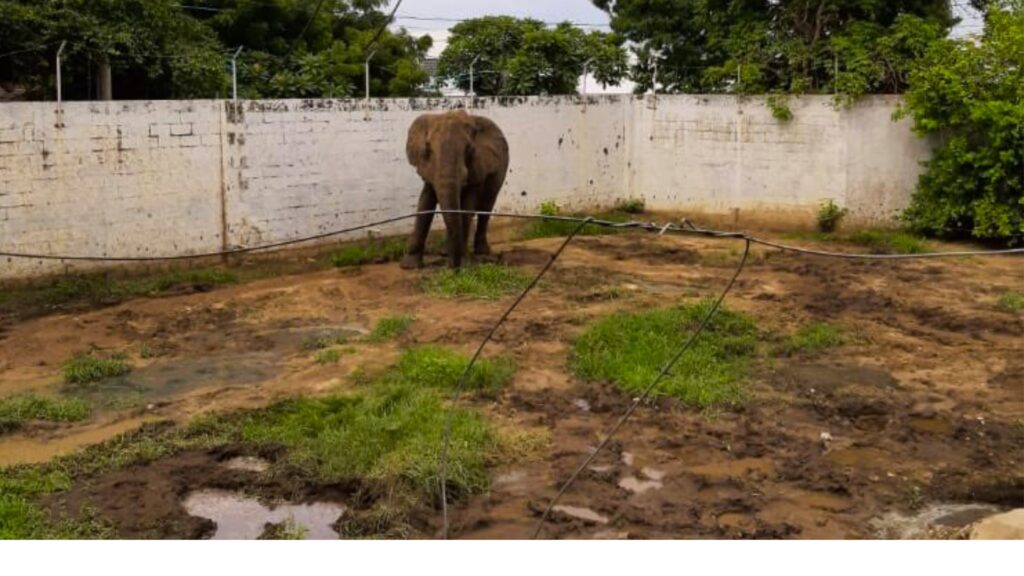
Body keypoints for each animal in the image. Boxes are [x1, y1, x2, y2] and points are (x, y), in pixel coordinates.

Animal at [401, 110, 509, 269]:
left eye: (469, 149)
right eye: (428, 149)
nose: (452, 267)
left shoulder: (477, 166)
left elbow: (466, 207)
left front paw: (463, 263)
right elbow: (425, 204)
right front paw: (410, 266)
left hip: (501, 170)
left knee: (486, 206)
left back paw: (480, 252)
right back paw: (447, 252)